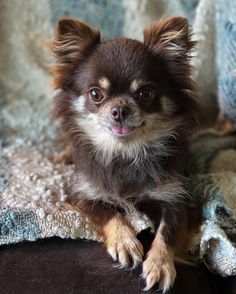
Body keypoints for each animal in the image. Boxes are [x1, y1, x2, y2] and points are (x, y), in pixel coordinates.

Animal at [49, 17, 199, 292]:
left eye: (145, 93)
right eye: (96, 94)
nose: (119, 110)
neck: (125, 152)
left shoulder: (176, 198)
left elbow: (167, 233)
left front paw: (160, 264)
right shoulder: (84, 194)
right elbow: (110, 213)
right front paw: (124, 242)